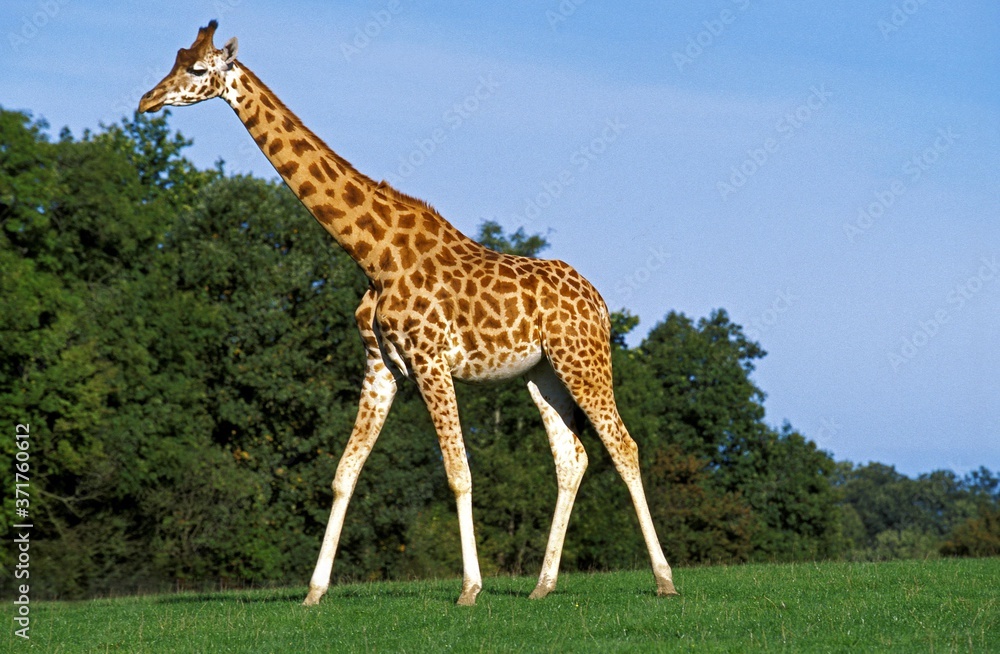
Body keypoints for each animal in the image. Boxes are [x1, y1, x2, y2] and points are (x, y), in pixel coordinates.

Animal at [139, 20, 678, 606]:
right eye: (174, 58)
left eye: (196, 69)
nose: (146, 100)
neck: (373, 254)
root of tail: (600, 302)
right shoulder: (381, 366)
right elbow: (344, 473)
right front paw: (313, 592)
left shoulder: (430, 360)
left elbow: (458, 472)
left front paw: (469, 589)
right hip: (543, 373)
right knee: (572, 457)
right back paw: (542, 585)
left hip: (583, 359)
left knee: (623, 445)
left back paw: (664, 580)